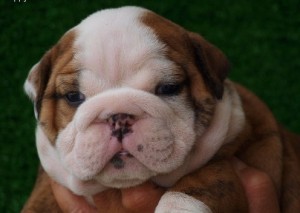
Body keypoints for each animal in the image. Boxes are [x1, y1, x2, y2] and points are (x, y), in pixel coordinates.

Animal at [22, 5, 300, 212]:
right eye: (73, 96)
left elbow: (201, 182)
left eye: (168, 88)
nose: (119, 117)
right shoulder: (51, 181)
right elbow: (41, 202)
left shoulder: (233, 157)